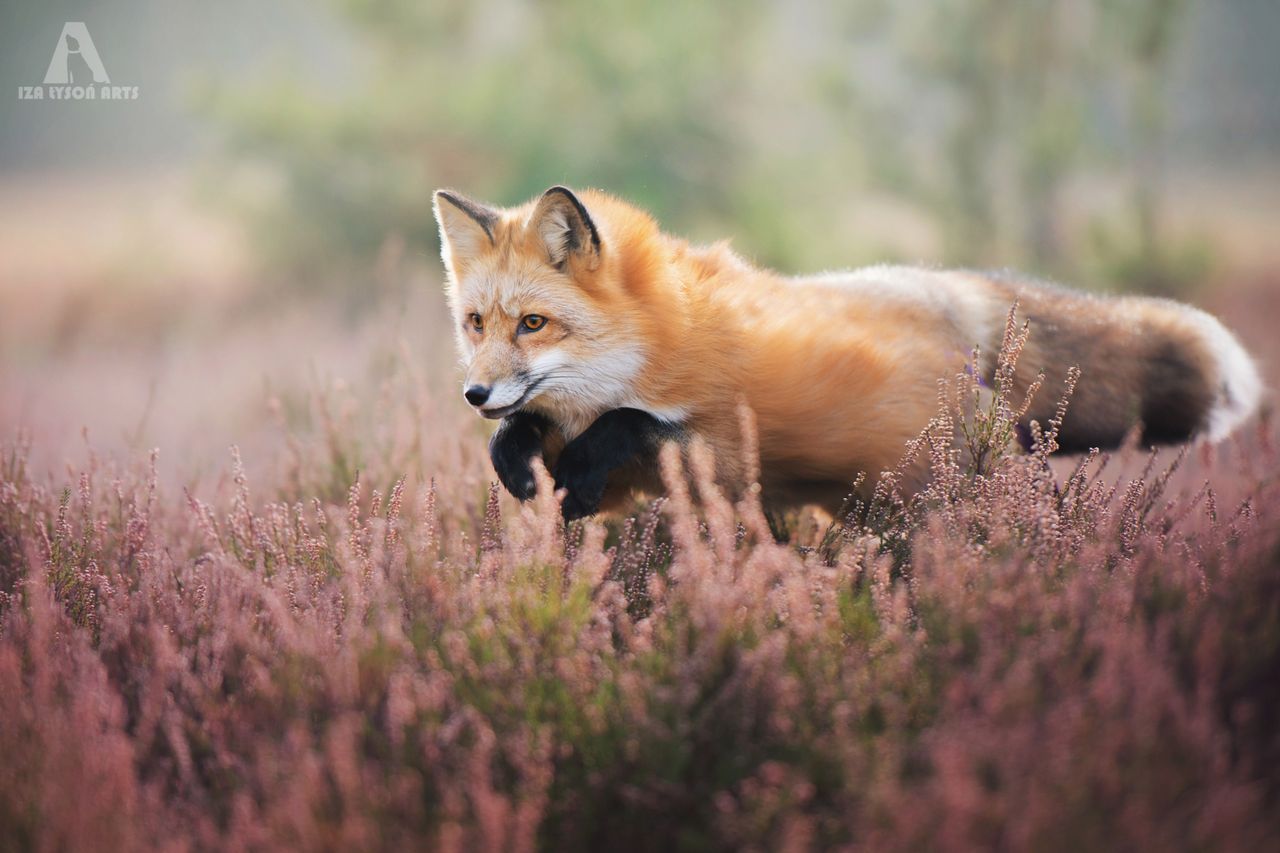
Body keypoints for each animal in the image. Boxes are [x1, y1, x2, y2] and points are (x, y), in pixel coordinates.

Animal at [430, 185, 1259, 517]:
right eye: (475, 324)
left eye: (533, 324)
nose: (473, 394)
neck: (655, 340)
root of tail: (940, 284)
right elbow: (535, 432)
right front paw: (517, 459)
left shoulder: (725, 448)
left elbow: (630, 423)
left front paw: (576, 454)